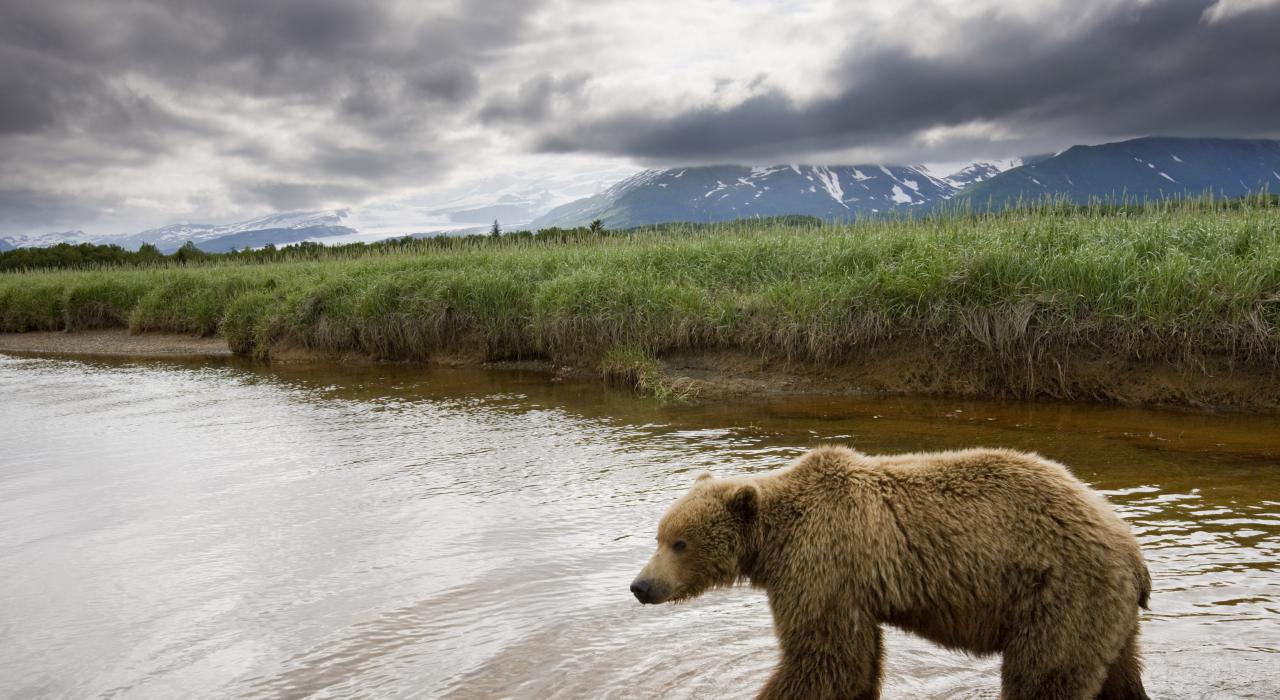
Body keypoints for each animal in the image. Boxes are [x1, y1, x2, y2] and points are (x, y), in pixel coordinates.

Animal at [630, 445, 1151, 700]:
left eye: (679, 542)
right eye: (660, 535)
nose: (640, 586)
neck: (775, 539)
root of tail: (1130, 548)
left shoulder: (823, 566)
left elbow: (825, 657)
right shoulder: (851, 588)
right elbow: (856, 664)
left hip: (1059, 591)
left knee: (1043, 677)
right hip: (1104, 610)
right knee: (1118, 675)